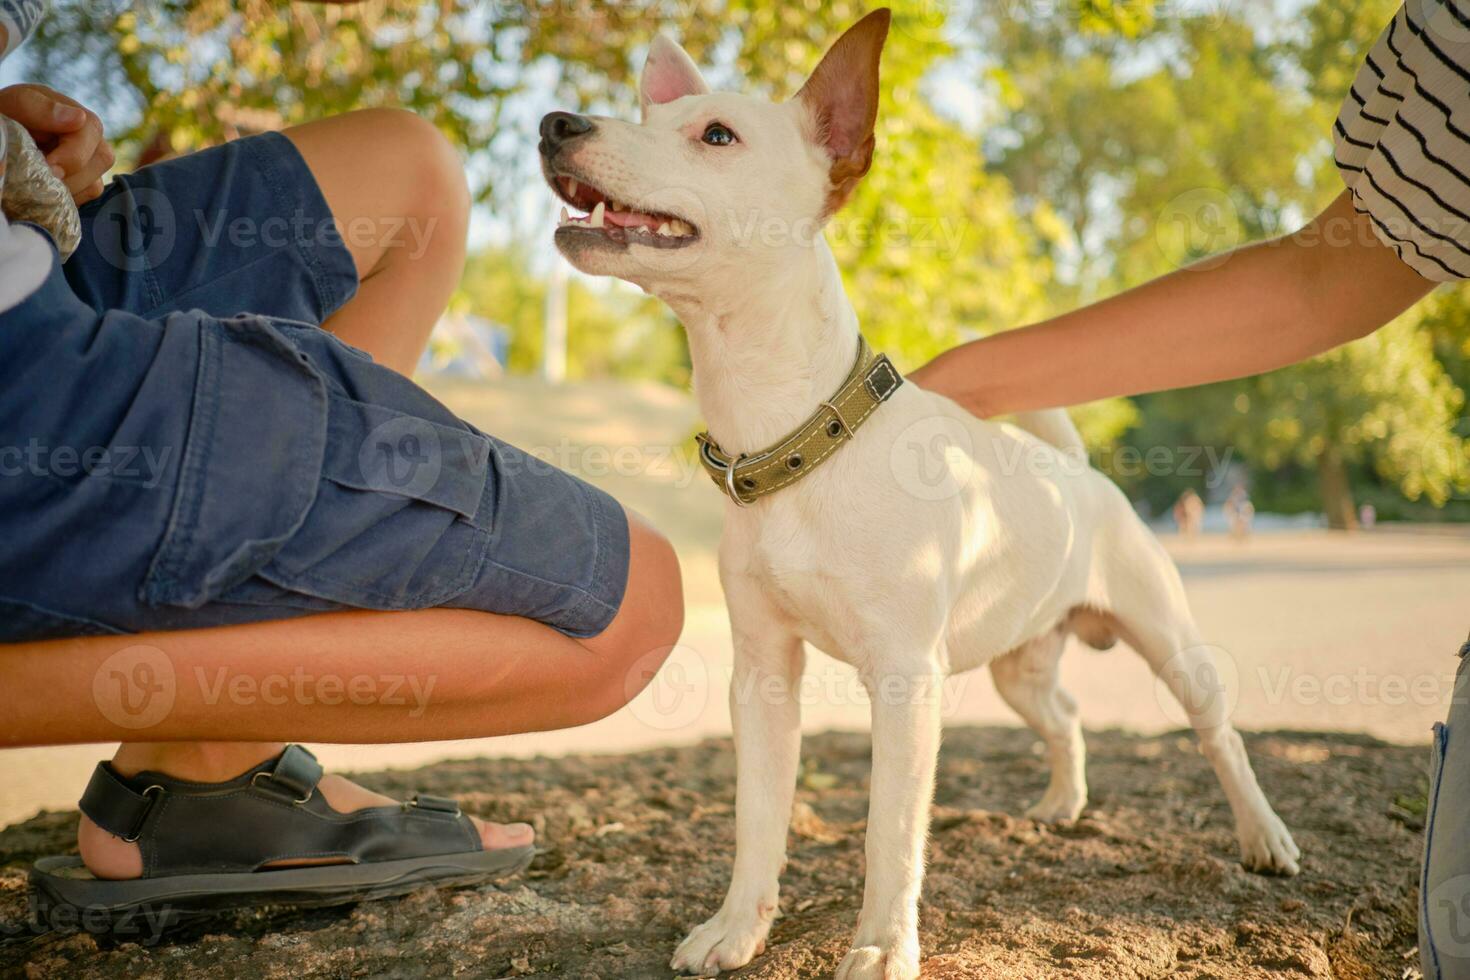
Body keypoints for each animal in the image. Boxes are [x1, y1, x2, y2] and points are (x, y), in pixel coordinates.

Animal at [540, 11, 1299, 975]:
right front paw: (737, 928)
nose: (556, 123)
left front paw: (878, 950)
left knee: (1219, 734)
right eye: (651, 116)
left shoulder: (907, 683)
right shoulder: (763, 676)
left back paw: (1264, 836)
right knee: (1065, 715)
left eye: (716, 136)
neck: (799, 442)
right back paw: (1062, 804)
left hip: (1169, 644)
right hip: (1018, 662)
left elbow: (891, 835)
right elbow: (758, 818)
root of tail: (1079, 475)